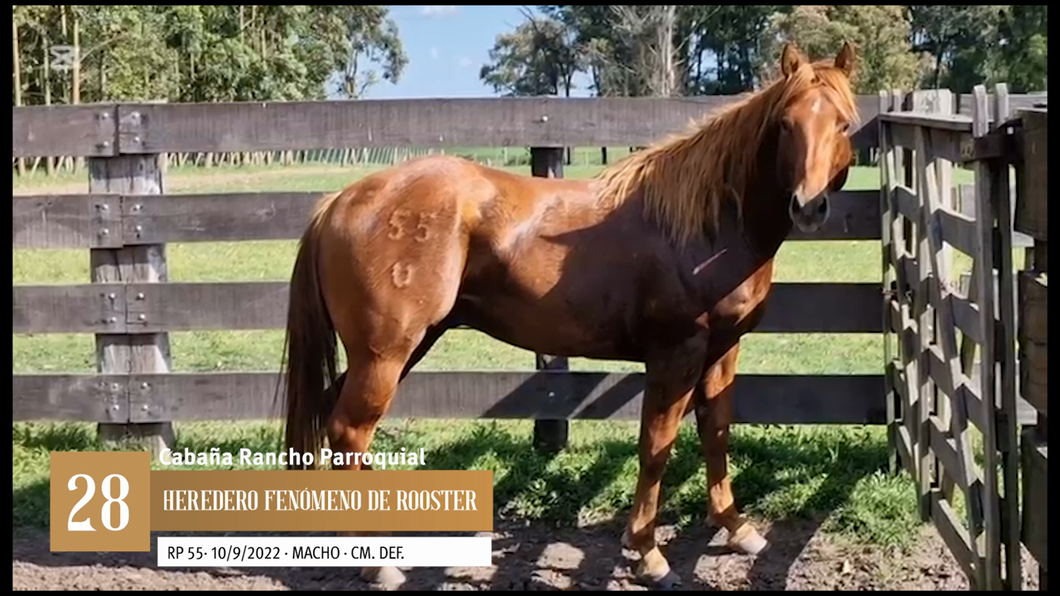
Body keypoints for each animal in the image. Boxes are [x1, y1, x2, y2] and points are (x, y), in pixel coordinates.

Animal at [277, 42, 856, 589]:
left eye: (844, 122)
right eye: (785, 123)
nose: (808, 206)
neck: (708, 223)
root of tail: (340, 201)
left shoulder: (723, 348)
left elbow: (715, 432)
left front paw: (737, 529)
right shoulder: (677, 354)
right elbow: (657, 446)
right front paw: (648, 555)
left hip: (400, 349)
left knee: (337, 426)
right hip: (385, 354)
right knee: (350, 431)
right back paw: (378, 564)